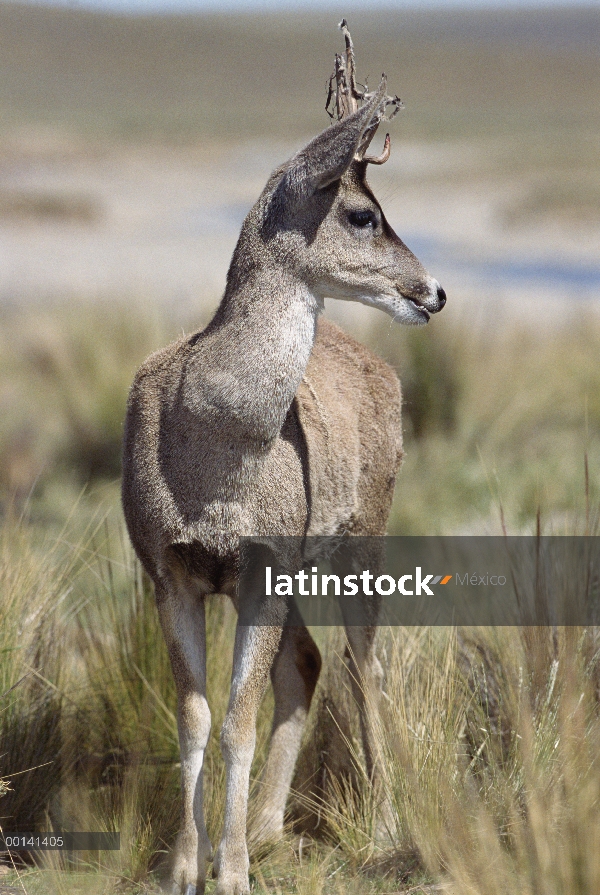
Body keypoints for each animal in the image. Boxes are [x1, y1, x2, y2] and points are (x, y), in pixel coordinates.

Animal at [122, 21, 446, 895]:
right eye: (363, 215)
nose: (435, 291)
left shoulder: (260, 565)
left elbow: (237, 719)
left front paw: (229, 872)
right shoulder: (168, 567)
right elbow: (195, 716)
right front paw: (184, 866)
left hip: (365, 529)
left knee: (364, 664)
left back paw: (385, 825)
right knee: (307, 661)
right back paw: (269, 827)